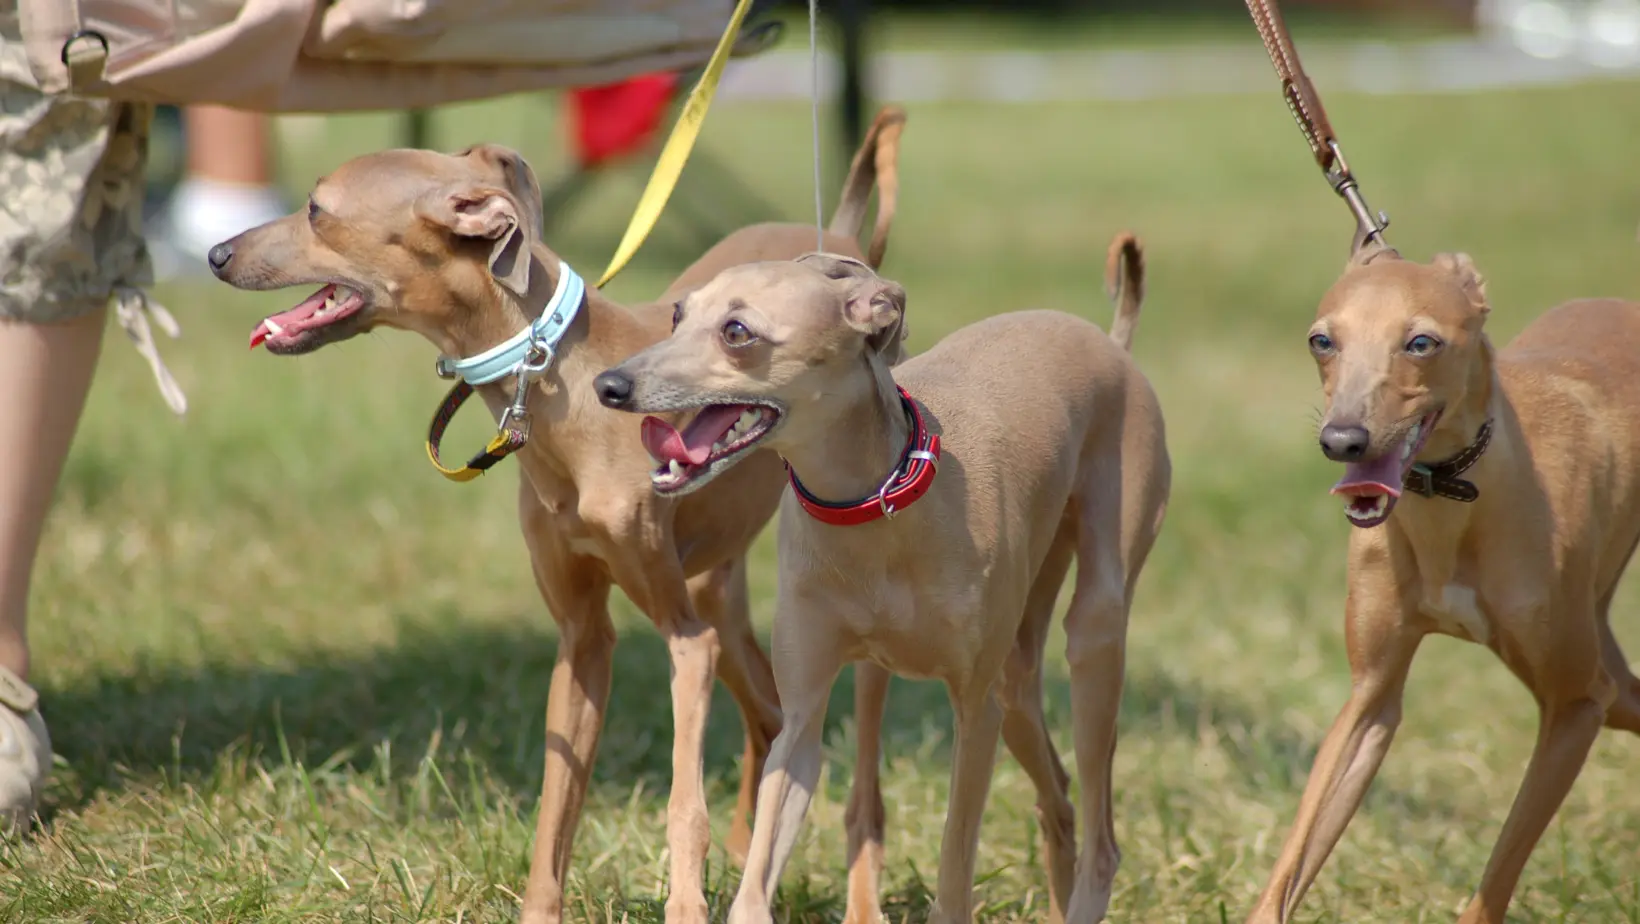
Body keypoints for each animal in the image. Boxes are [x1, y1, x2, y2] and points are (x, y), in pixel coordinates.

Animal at [205, 109, 911, 924]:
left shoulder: (684, 641)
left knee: (842, 772)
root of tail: (843, 243)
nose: (216, 254)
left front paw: (686, 903)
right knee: (769, 718)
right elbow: (555, 806)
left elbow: (683, 805)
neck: (564, 383)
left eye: (317, 209)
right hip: (721, 591)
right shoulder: (582, 638)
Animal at [596, 234, 1174, 919]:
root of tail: (1112, 344)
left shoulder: (974, 711)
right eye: (679, 314)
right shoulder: (802, 720)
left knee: (1101, 838)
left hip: (1092, 636)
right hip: (1007, 677)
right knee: (1056, 797)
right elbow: (760, 866)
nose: (610, 385)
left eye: (737, 332)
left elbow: (954, 862)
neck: (876, 502)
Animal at [1239, 242, 1640, 919]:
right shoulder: (1372, 695)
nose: (1341, 440)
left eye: (1421, 342)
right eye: (1323, 340)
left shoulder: (1576, 704)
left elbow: (1496, 877)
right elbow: (1296, 853)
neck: (1457, 504)